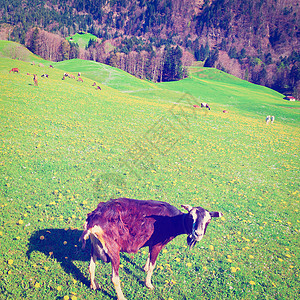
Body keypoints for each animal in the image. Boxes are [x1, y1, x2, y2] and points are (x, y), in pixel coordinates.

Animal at [79, 198, 223, 298]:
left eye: (208, 220)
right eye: (191, 217)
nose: (197, 234)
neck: (173, 220)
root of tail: (93, 220)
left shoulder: (152, 242)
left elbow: (149, 257)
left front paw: (144, 267)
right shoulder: (158, 244)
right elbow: (153, 265)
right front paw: (149, 284)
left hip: (95, 244)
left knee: (91, 266)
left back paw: (93, 285)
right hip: (113, 247)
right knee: (114, 278)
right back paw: (121, 297)